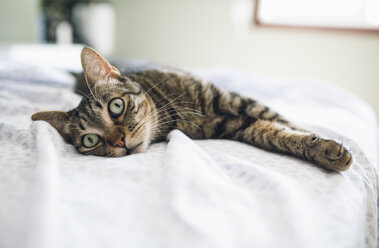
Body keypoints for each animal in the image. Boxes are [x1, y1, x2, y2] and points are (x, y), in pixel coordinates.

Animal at [31, 46, 354, 171]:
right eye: (91, 140)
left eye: (116, 106)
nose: (119, 142)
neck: (176, 112)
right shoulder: (240, 126)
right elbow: (275, 135)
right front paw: (324, 150)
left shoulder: (236, 101)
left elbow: (285, 122)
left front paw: (327, 146)